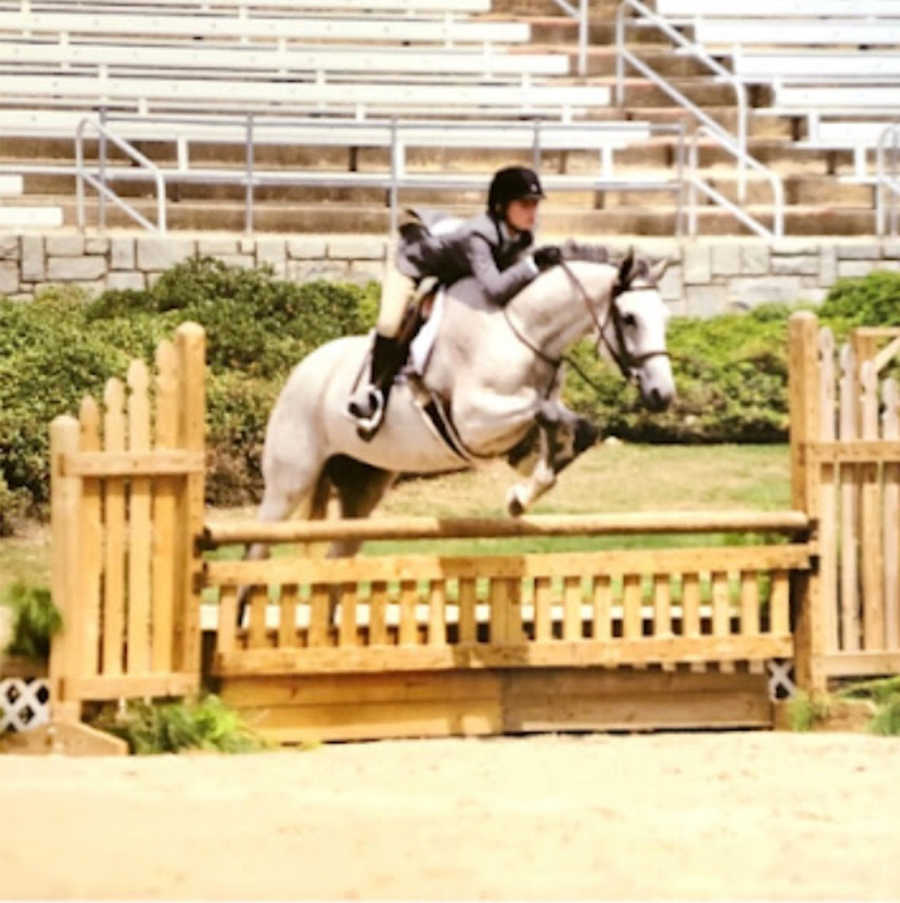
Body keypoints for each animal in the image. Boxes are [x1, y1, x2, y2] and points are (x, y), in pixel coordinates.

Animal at [243, 251, 672, 568]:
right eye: (629, 318)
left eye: (664, 318)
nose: (662, 394)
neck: (523, 332)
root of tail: (300, 369)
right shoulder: (473, 422)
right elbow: (545, 410)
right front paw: (524, 491)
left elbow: (573, 428)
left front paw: (524, 493)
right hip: (289, 482)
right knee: (257, 550)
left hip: (363, 482)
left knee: (339, 555)